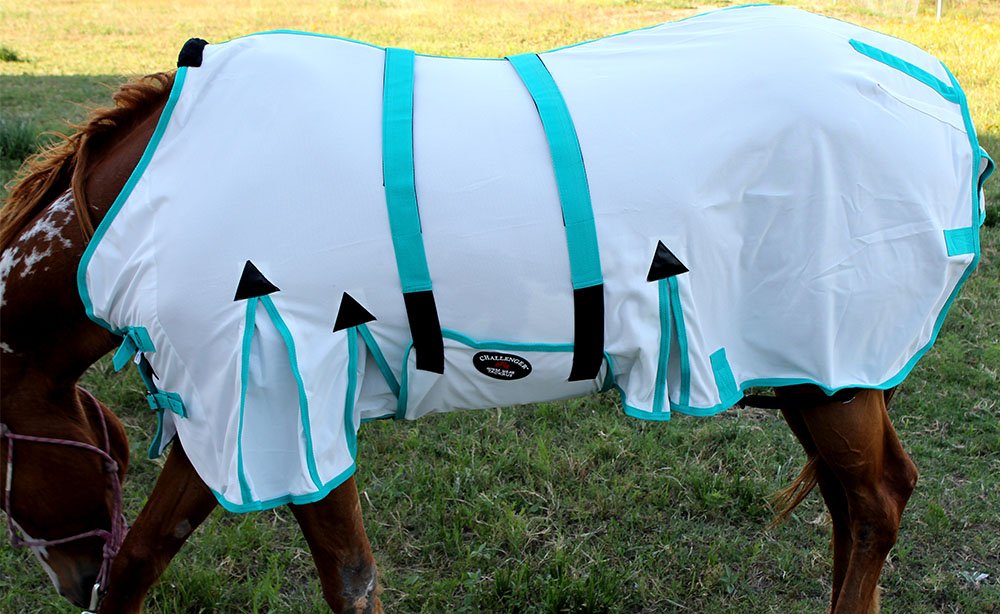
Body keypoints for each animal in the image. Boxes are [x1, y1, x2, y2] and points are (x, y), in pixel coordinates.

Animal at [2, 7, 987, 612]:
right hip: (817, 377)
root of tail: (922, 75)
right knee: (859, 506)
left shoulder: (279, 399)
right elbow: (148, 559)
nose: (69, 577)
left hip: (835, 365)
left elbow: (339, 578)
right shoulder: (247, 412)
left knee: (875, 505)